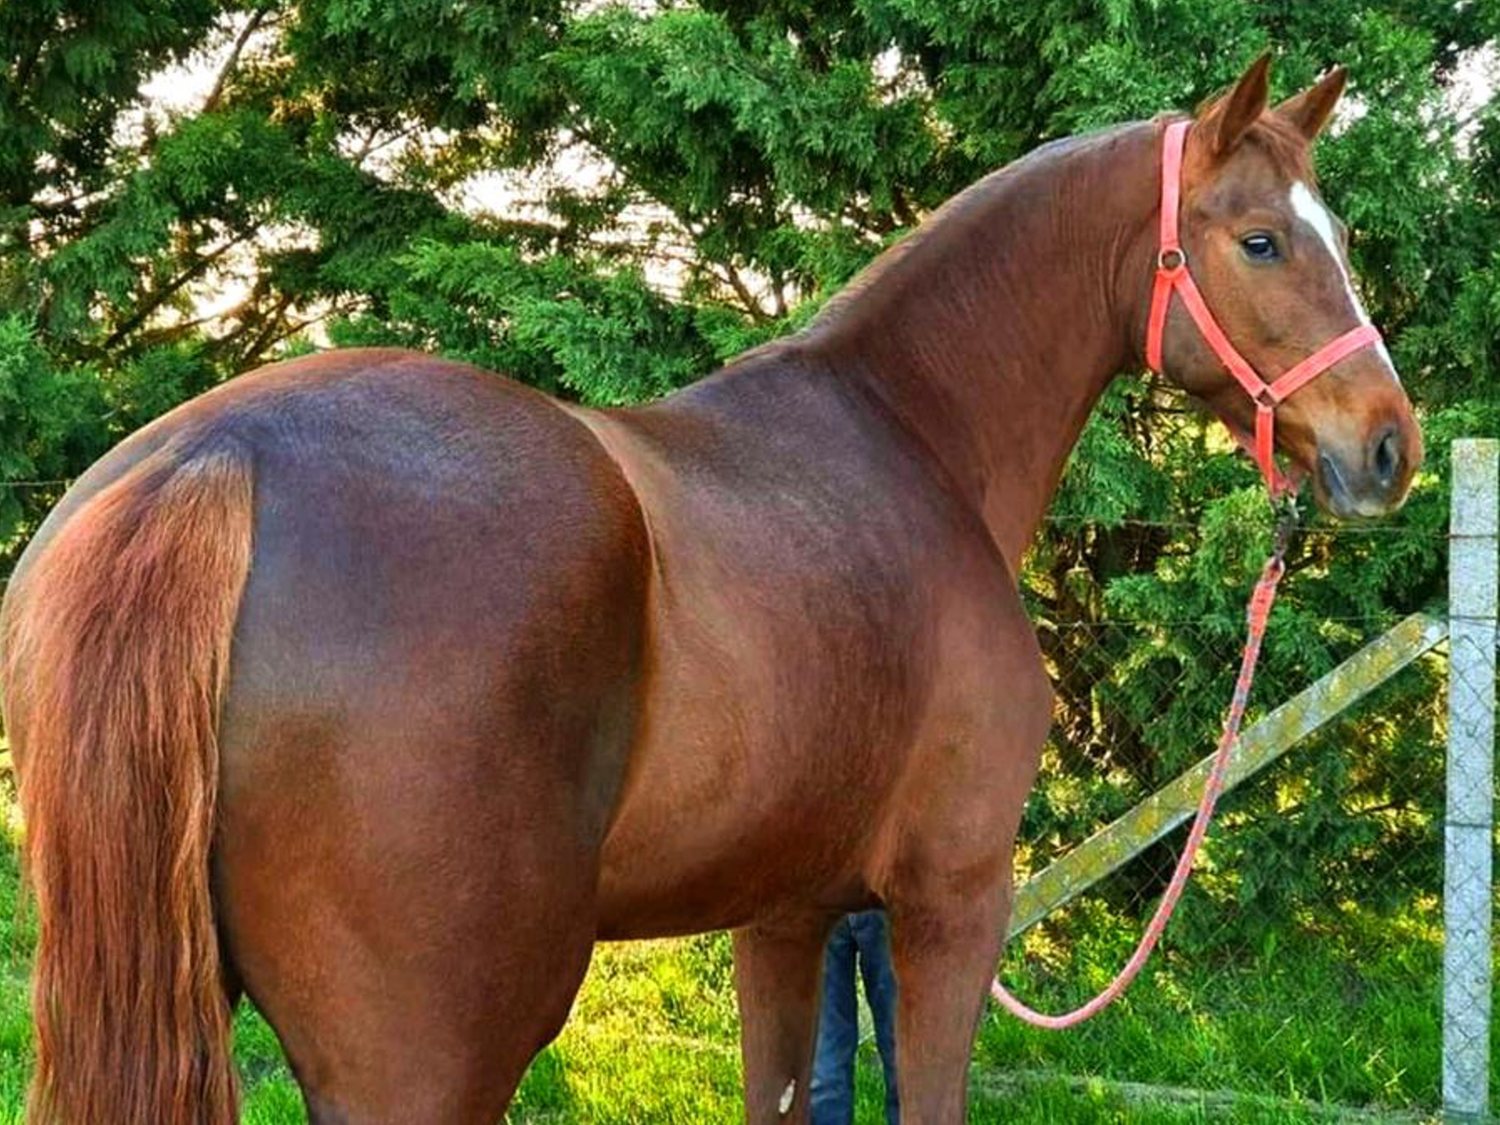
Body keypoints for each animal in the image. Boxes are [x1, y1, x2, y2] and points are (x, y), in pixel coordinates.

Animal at [0, 55, 1416, 1125]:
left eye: (1336, 235)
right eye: (1261, 240)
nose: (1389, 445)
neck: (911, 439)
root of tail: (218, 461)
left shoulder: (786, 919)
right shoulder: (950, 906)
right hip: (433, 1054)